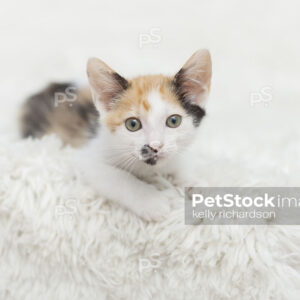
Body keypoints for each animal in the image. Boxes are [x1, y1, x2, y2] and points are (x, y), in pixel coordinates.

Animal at [19, 49, 212, 221]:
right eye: (132, 124)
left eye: (173, 121)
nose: (155, 146)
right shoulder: (87, 156)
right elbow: (118, 177)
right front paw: (153, 202)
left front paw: (196, 185)